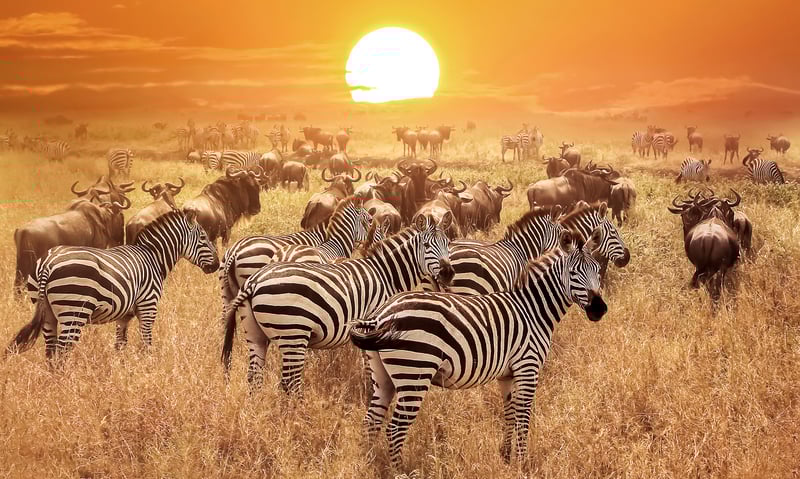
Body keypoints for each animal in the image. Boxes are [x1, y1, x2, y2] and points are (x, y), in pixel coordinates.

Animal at [7, 210, 219, 360]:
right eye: (203, 238)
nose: (217, 265)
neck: (152, 257)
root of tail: (48, 264)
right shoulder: (148, 306)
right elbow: (146, 343)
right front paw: (147, 370)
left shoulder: (124, 316)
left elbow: (120, 345)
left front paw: (122, 372)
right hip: (73, 312)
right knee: (62, 353)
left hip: (47, 312)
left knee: (50, 352)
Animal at [221, 214, 455, 392]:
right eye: (426, 245)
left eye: (448, 244)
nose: (448, 273)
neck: (385, 274)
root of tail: (254, 281)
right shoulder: (372, 325)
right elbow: (369, 366)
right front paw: (369, 390)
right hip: (293, 332)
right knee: (290, 382)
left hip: (255, 333)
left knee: (254, 375)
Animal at [350, 229, 606, 471]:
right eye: (573, 273)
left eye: (597, 270)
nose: (599, 309)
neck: (533, 309)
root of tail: (380, 315)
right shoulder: (528, 367)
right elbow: (523, 417)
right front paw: (523, 463)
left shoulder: (506, 374)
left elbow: (509, 413)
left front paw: (506, 456)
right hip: (414, 371)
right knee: (394, 429)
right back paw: (399, 471)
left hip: (382, 376)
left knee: (371, 422)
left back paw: (370, 464)